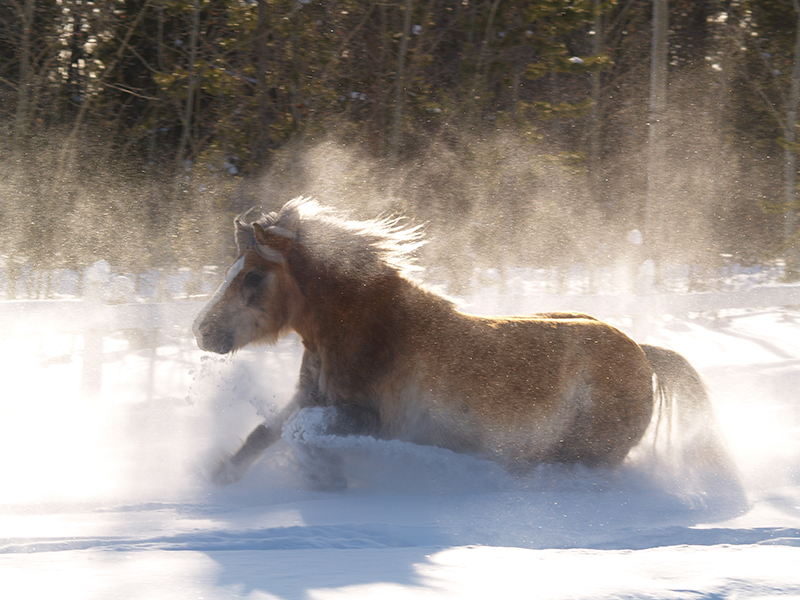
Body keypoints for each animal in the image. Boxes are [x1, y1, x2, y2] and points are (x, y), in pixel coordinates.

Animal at [193, 197, 727, 489]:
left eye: (253, 277)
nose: (201, 330)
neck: (368, 330)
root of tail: (643, 353)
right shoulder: (310, 397)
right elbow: (266, 432)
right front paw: (215, 480)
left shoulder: (370, 421)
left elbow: (299, 433)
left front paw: (327, 479)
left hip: (585, 455)